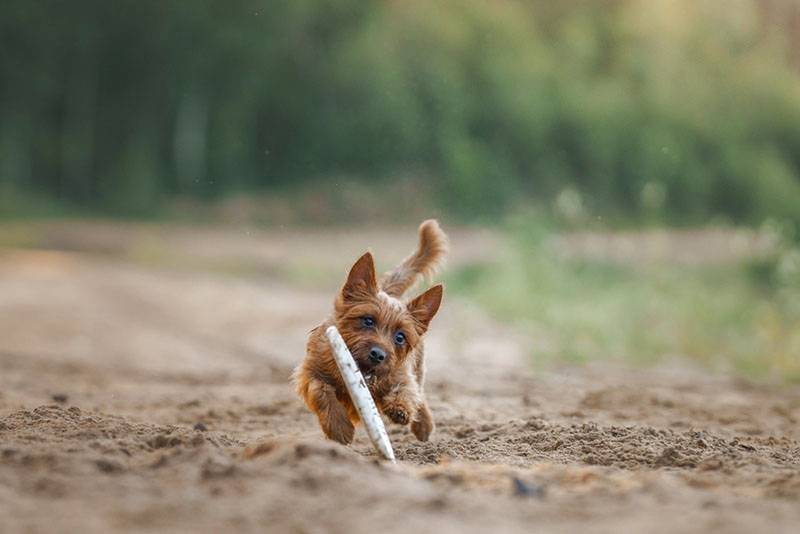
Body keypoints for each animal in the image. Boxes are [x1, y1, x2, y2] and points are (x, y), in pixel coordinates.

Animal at [294, 220, 446, 446]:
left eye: (400, 337)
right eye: (368, 321)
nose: (378, 354)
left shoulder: (401, 374)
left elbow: (406, 391)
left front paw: (399, 408)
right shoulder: (310, 371)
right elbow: (320, 390)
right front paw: (339, 427)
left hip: (418, 368)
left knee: (420, 392)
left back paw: (423, 424)